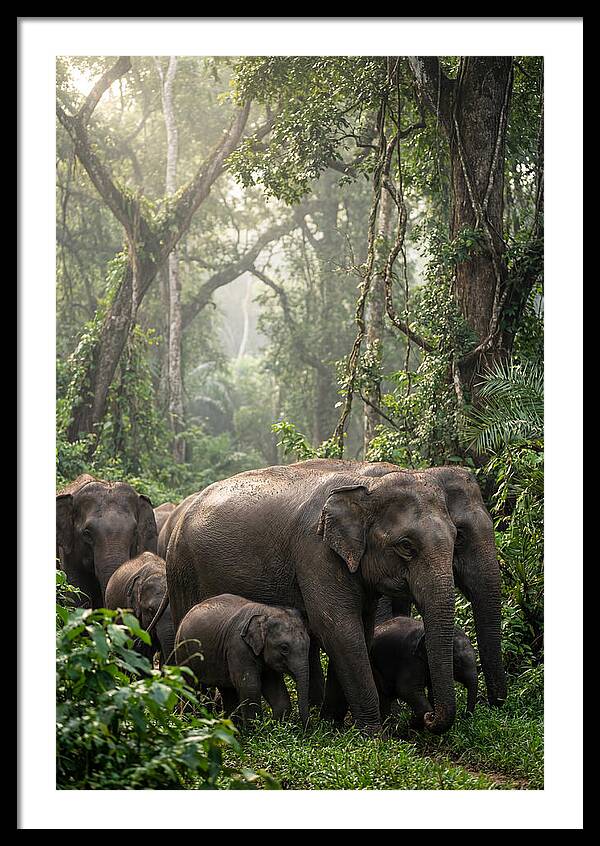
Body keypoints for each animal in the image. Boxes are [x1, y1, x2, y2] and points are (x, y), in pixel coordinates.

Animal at [175, 593, 311, 726]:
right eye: (284, 648)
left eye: (309, 643)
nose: (305, 729)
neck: (266, 611)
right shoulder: (238, 647)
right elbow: (249, 686)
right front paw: (255, 730)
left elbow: (276, 689)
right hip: (183, 652)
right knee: (190, 688)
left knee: (226, 691)